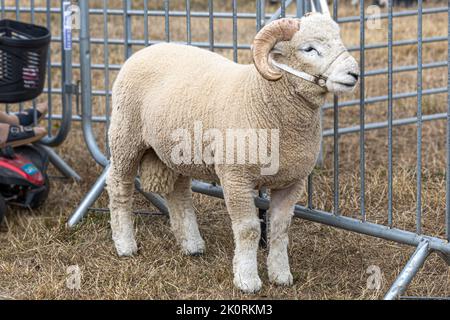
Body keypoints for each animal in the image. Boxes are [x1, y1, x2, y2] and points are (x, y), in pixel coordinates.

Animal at [105, 1, 358, 294]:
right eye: (309, 49)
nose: (354, 74)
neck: (262, 97)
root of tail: (147, 48)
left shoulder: (292, 181)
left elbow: (280, 228)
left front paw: (281, 274)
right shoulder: (236, 177)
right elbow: (249, 229)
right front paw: (247, 279)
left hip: (177, 149)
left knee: (179, 192)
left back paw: (192, 244)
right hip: (125, 136)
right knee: (119, 185)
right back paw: (125, 244)